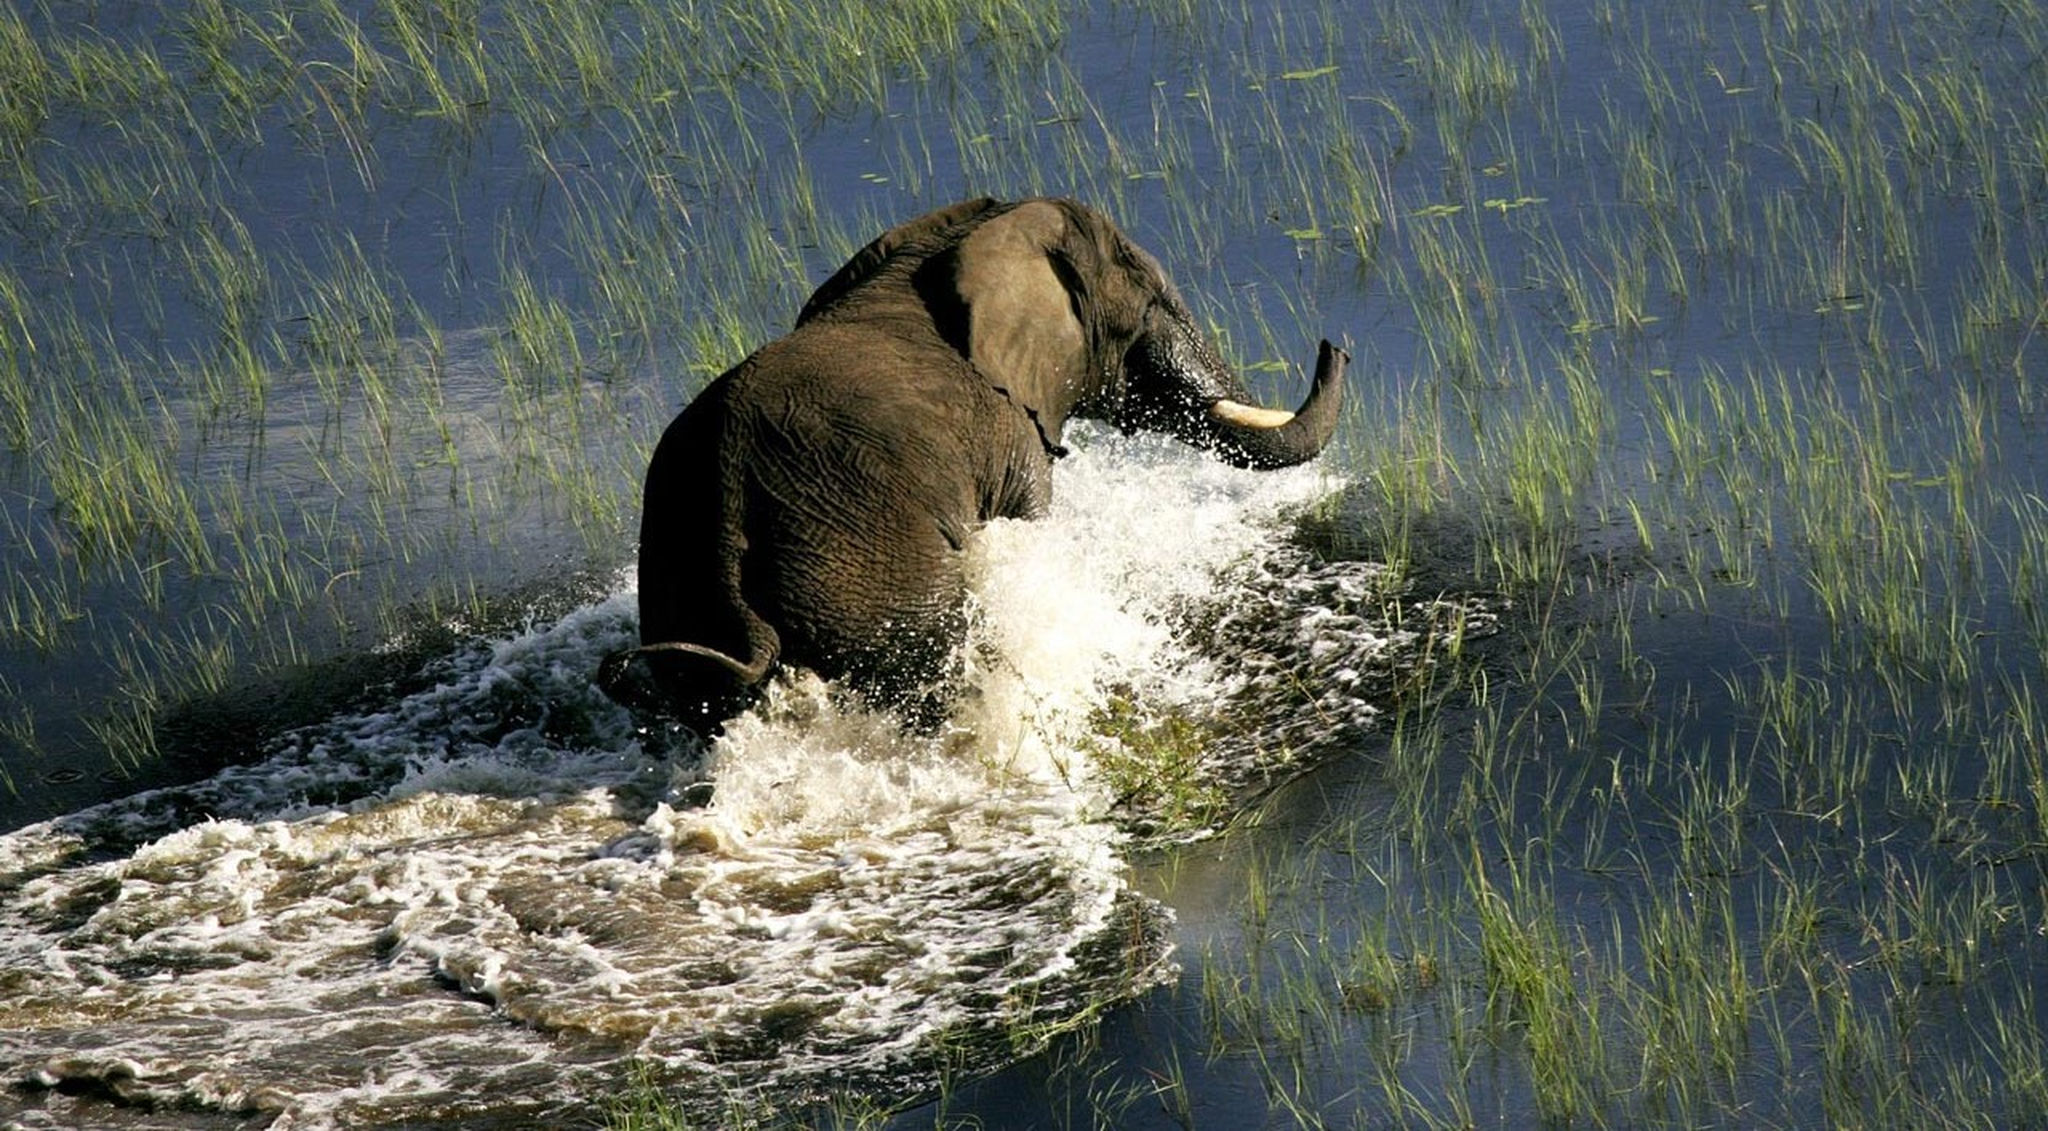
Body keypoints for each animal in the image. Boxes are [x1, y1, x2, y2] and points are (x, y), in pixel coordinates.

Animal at [598, 197, 1351, 729]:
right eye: (1147, 306)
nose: (1334, 345)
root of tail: (727, 512)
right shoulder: (1011, 431)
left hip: (683, 587)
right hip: (871, 575)